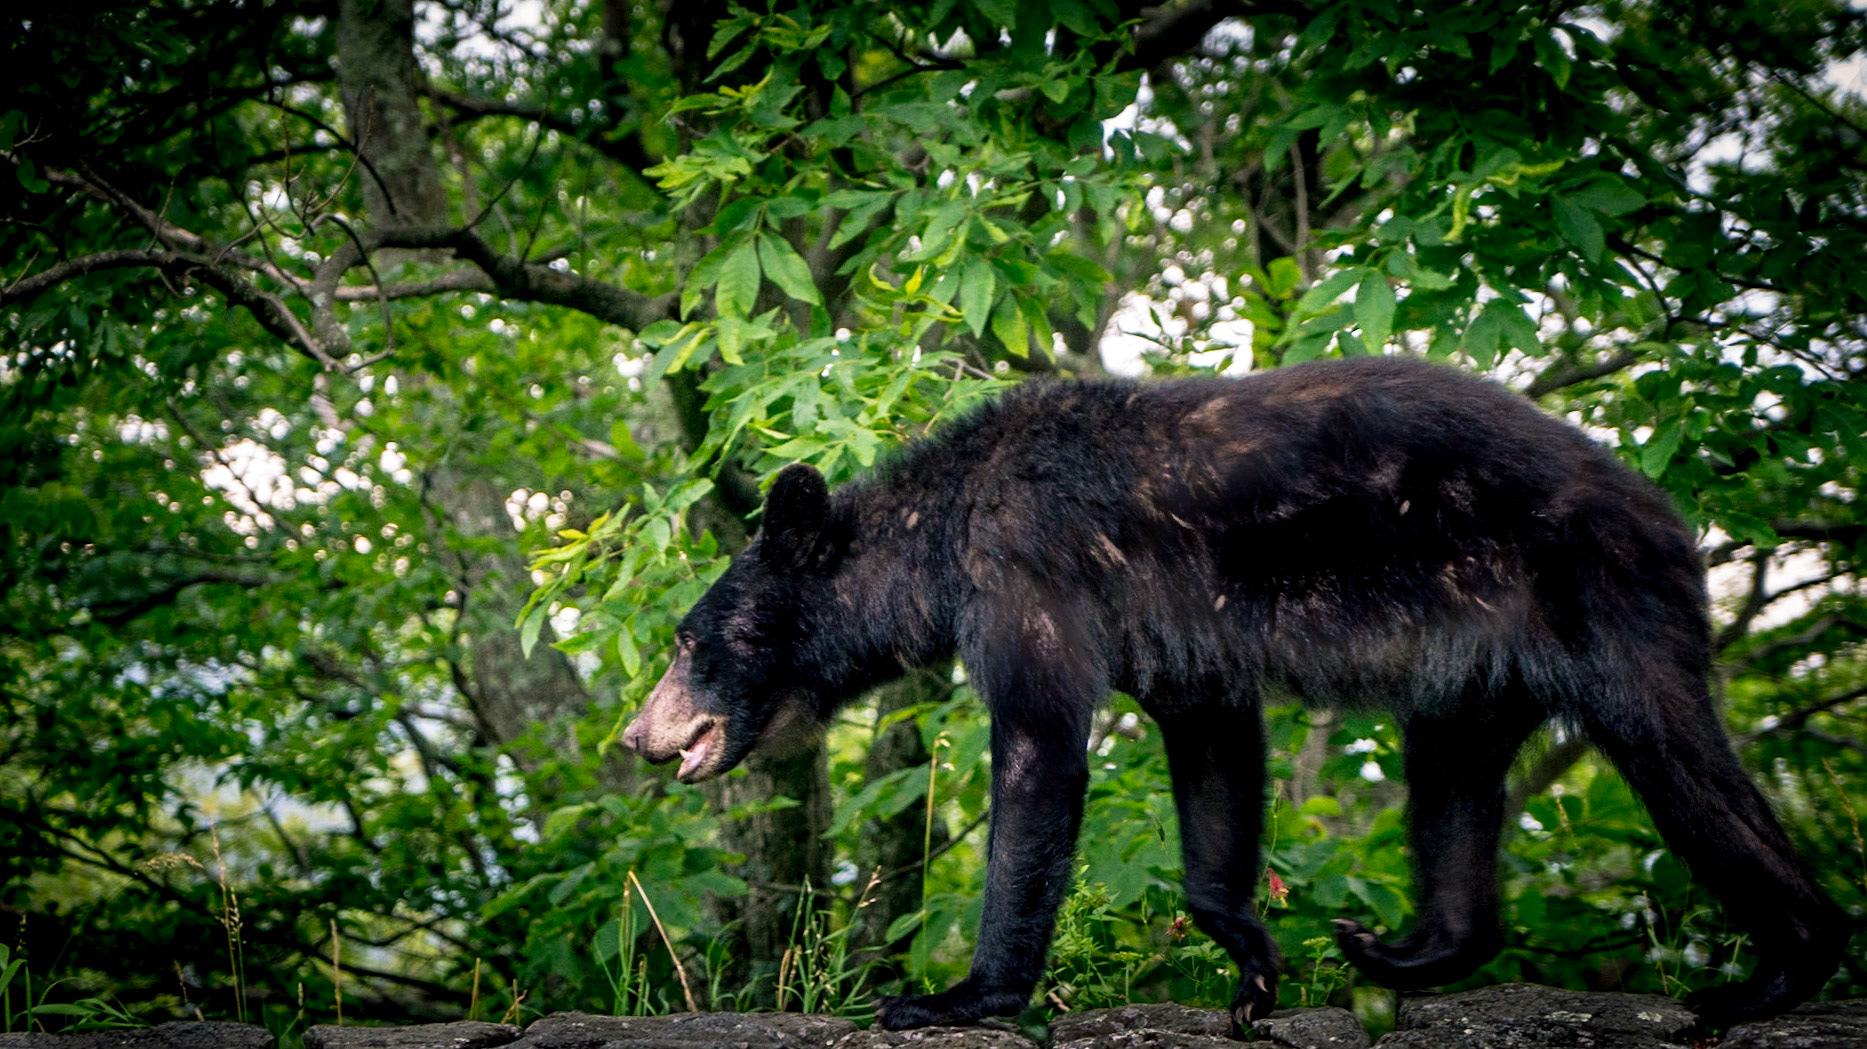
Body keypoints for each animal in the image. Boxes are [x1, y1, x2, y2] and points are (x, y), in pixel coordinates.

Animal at [619, 355, 1847, 1036]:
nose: (636, 734)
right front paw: (1251, 957)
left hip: (1596, 594)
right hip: (1478, 652)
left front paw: (957, 994)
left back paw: (1779, 970)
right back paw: (1406, 949)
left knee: (1676, 758)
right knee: (1451, 773)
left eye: (686, 637)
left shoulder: (1026, 565)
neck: (938, 530)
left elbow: (1040, 749)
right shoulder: (1169, 631)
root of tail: (1668, 513)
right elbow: (1209, 738)